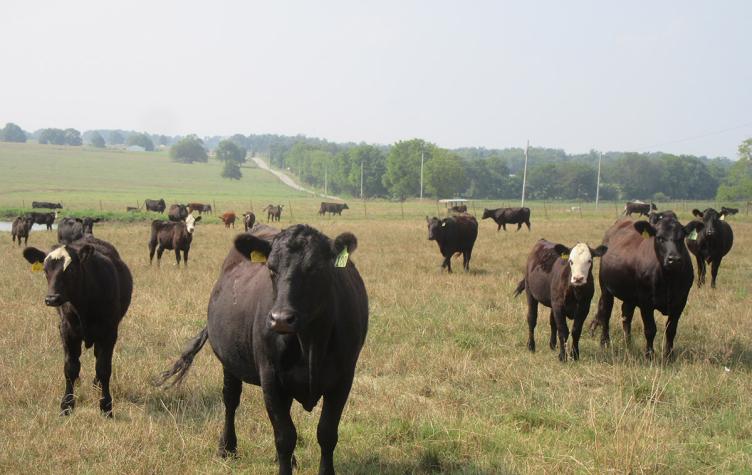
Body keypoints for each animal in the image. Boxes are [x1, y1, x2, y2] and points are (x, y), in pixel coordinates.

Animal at [21, 236, 132, 416]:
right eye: (45, 270)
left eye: (71, 269)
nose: (52, 298)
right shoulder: (67, 331)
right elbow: (70, 368)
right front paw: (66, 405)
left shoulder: (109, 332)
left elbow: (103, 368)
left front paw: (106, 406)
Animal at [156, 224, 368, 474]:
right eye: (271, 268)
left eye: (315, 268)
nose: (280, 319)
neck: (309, 343)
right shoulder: (270, 378)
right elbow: (285, 437)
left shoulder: (343, 379)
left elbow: (326, 433)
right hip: (229, 362)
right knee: (230, 400)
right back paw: (227, 447)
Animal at [589, 216, 704, 359]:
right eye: (659, 238)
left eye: (681, 237)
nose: (674, 259)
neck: (668, 280)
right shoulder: (645, 302)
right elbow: (650, 329)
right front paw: (649, 355)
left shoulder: (680, 301)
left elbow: (671, 330)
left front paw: (669, 355)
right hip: (605, 289)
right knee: (606, 312)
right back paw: (605, 342)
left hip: (630, 296)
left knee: (626, 315)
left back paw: (628, 342)